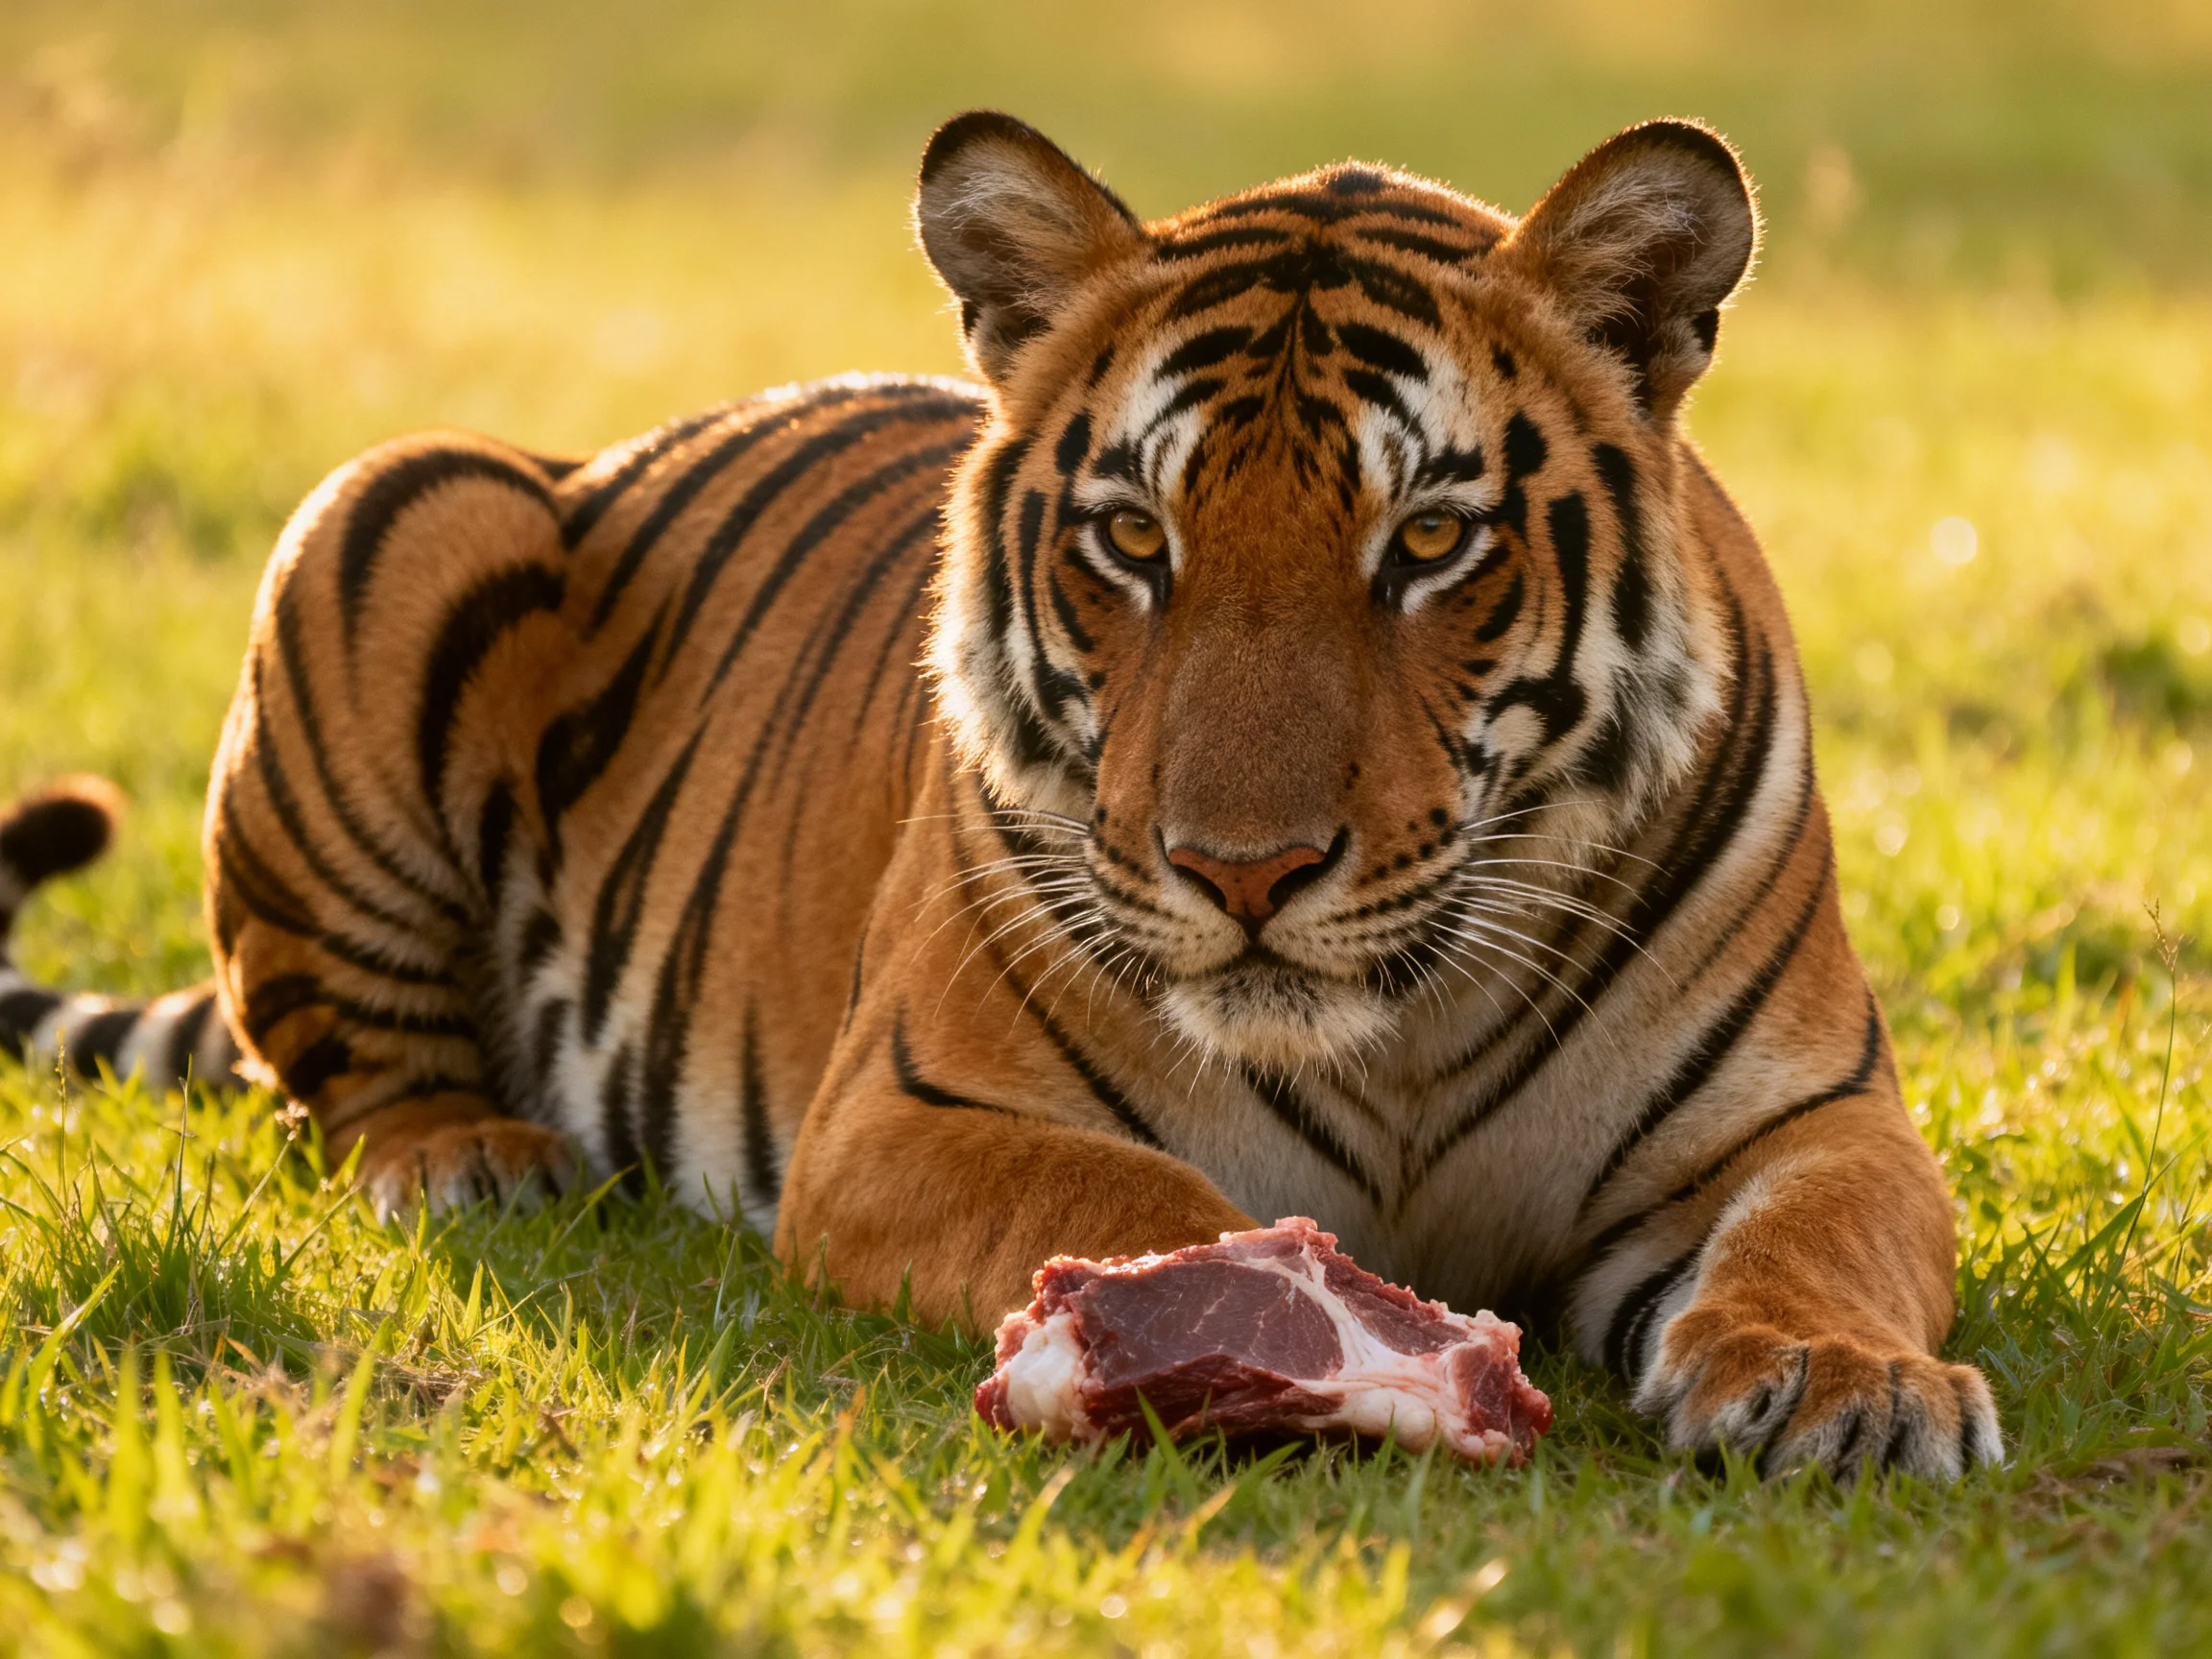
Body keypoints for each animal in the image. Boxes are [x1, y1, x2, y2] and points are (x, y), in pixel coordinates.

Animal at [0, 111, 2000, 1479]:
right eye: (1134, 538)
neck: (1395, 1040)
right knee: (334, 1070)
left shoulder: (1809, 1116)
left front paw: (1844, 1386)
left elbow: (1819, 1234)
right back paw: (467, 1153)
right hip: (395, 503)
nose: (1242, 871)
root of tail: (608, 451)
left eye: (1426, 543)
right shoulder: (909, 1116)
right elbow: (1135, 1192)